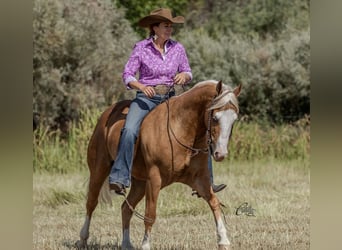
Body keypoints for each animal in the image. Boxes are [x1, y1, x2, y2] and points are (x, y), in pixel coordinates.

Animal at [77, 80, 242, 250]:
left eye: (234, 120)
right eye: (215, 117)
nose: (220, 154)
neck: (180, 127)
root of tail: (105, 115)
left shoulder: (200, 179)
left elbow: (214, 203)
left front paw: (223, 240)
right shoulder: (155, 179)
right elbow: (150, 214)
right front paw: (145, 245)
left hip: (139, 183)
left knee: (126, 208)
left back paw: (126, 244)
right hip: (99, 169)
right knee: (91, 203)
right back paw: (83, 239)